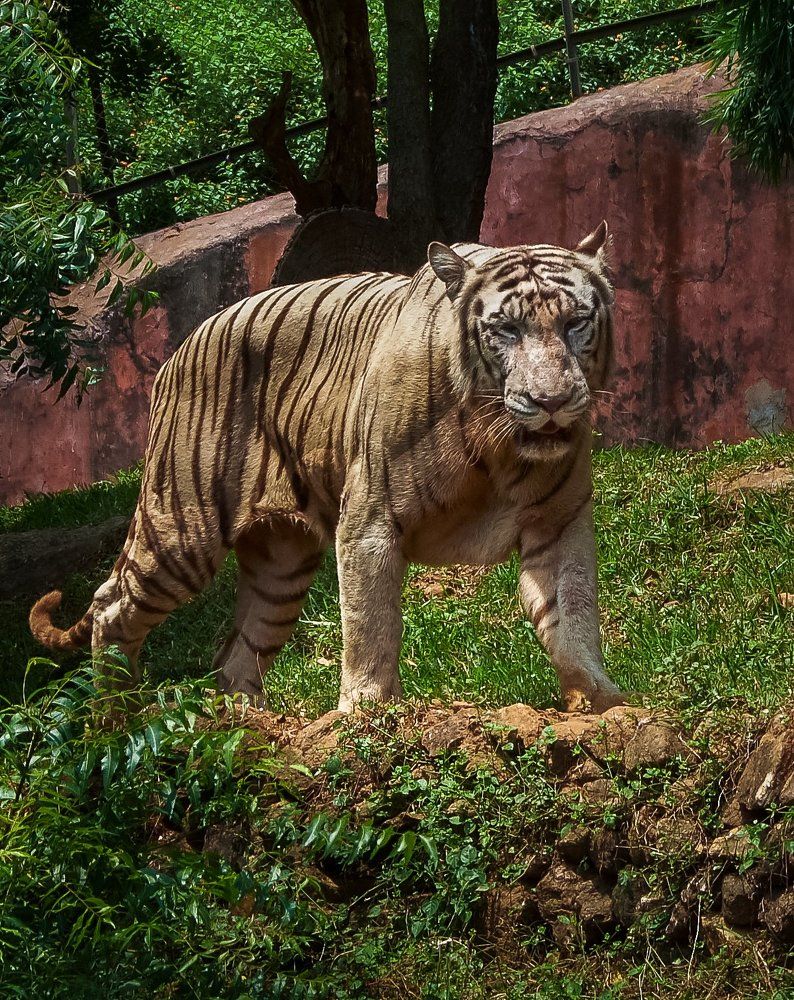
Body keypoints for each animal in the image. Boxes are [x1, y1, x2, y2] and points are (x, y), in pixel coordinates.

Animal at [30, 222, 625, 714]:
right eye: (505, 330)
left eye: (575, 324)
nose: (551, 401)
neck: (496, 446)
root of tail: (178, 350)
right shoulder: (370, 522)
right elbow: (369, 622)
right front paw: (368, 712)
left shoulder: (559, 522)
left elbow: (572, 612)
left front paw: (602, 700)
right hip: (183, 529)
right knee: (111, 605)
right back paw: (116, 718)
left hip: (281, 566)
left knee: (235, 655)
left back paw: (249, 725)